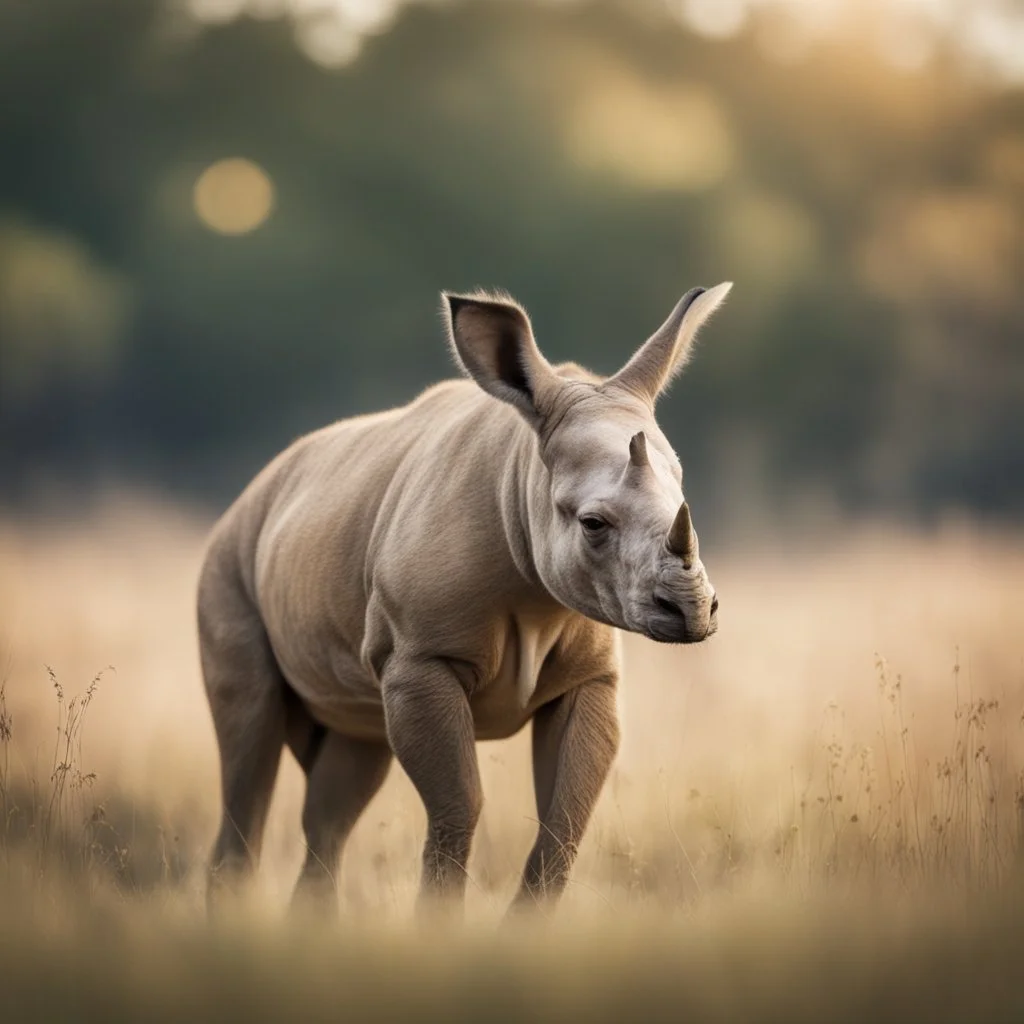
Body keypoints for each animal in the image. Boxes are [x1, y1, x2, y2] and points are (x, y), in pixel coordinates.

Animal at [195, 282, 733, 921]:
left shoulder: (592, 676)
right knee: (249, 745)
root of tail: (257, 485)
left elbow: (565, 819)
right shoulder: (420, 659)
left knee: (343, 779)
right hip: (228, 559)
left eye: (685, 501)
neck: (523, 477)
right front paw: (439, 927)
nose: (692, 610)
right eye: (593, 524)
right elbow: (459, 804)